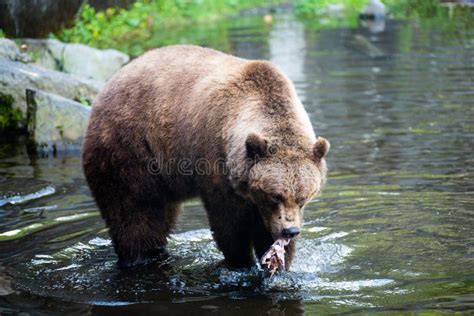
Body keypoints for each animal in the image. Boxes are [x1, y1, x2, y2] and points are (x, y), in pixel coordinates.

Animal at [81, 45, 328, 270]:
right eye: (275, 196)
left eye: (303, 198)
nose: (290, 230)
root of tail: (107, 86)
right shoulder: (216, 161)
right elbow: (229, 224)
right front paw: (242, 262)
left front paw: (278, 261)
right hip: (129, 151)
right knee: (134, 214)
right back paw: (137, 257)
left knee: (160, 217)